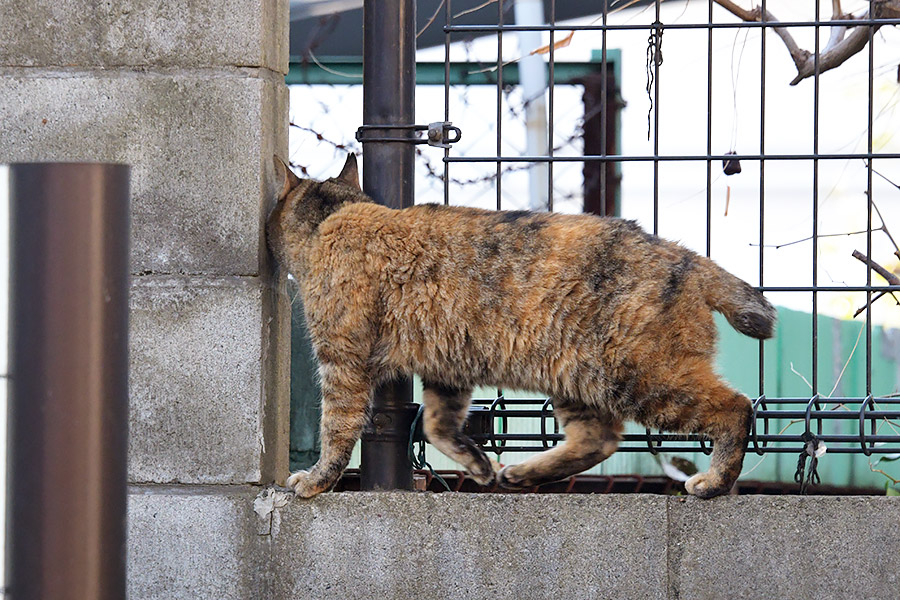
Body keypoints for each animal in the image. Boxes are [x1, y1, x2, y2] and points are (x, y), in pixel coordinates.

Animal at [266, 154, 772, 496]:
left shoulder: (342, 362)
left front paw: (315, 480)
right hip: (577, 378)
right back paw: (524, 472)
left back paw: (714, 481)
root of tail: (685, 256)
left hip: (644, 378)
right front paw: (477, 465)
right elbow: (437, 424)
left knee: (736, 407)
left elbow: (337, 429)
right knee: (599, 439)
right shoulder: (446, 368)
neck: (333, 219)